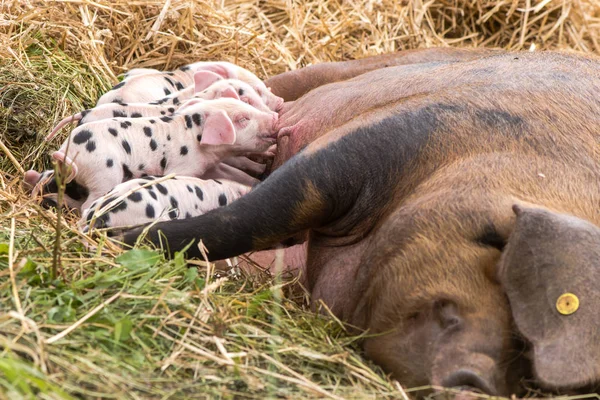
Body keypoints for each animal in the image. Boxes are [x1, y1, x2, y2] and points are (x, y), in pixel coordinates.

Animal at [119, 50, 600, 396]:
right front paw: (125, 237)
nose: (479, 384)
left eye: (534, 378)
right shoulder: (378, 142)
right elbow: (246, 219)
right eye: (494, 242)